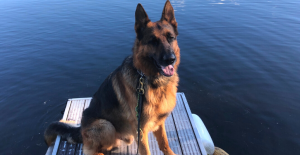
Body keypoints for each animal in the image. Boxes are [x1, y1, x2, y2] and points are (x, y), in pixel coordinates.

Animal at [44, 0, 180, 154]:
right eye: (153, 41)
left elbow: (164, 143)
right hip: (106, 125)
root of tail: (81, 128)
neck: (150, 78)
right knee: (92, 149)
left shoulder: (159, 122)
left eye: (171, 38)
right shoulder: (140, 131)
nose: (170, 59)